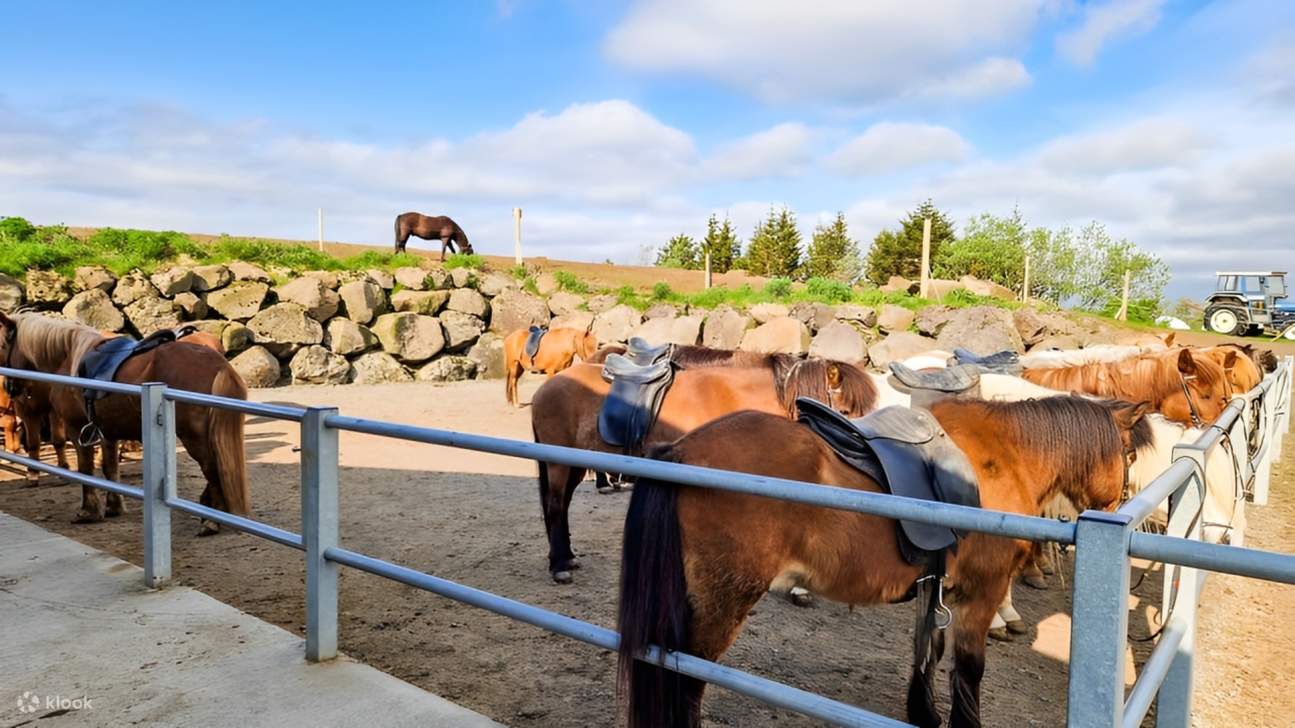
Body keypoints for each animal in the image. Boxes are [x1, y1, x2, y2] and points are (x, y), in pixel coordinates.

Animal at [0, 313, 250, 531]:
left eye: (2, 345)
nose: (10, 388)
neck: (68, 357)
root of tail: (218, 363)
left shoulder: (76, 428)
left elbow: (86, 469)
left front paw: (89, 511)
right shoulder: (107, 432)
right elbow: (110, 468)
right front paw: (114, 506)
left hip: (193, 436)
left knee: (212, 468)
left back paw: (212, 520)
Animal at [531, 352, 878, 583]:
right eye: (845, 411)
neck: (731, 398)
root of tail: (547, 386)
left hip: (575, 462)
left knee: (561, 505)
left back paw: (565, 558)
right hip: (559, 462)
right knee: (555, 504)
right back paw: (559, 565)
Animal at [617, 395, 1151, 728]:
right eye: (1129, 454)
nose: (1122, 504)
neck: (1008, 457)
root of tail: (680, 449)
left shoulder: (935, 584)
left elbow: (928, 652)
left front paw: (925, 714)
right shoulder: (982, 591)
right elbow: (968, 668)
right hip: (721, 603)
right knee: (687, 679)